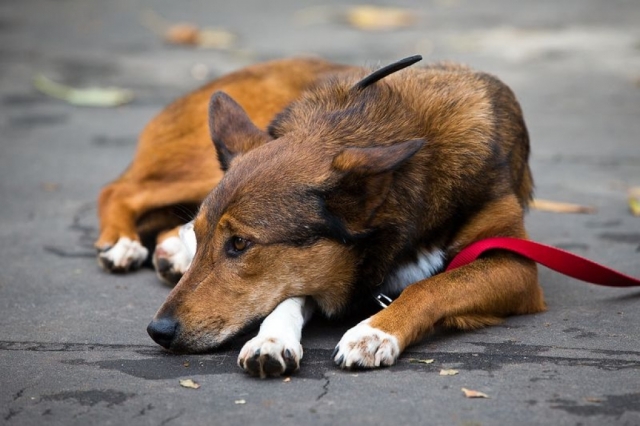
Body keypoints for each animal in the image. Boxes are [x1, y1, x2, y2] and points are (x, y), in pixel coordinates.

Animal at [96, 55, 544, 378]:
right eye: (204, 232)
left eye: (240, 244)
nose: (158, 331)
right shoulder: (318, 261)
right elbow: (289, 294)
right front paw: (271, 340)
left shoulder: (515, 265)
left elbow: (431, 287)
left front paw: (374, 331)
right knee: (120, 189)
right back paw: (124, 243)